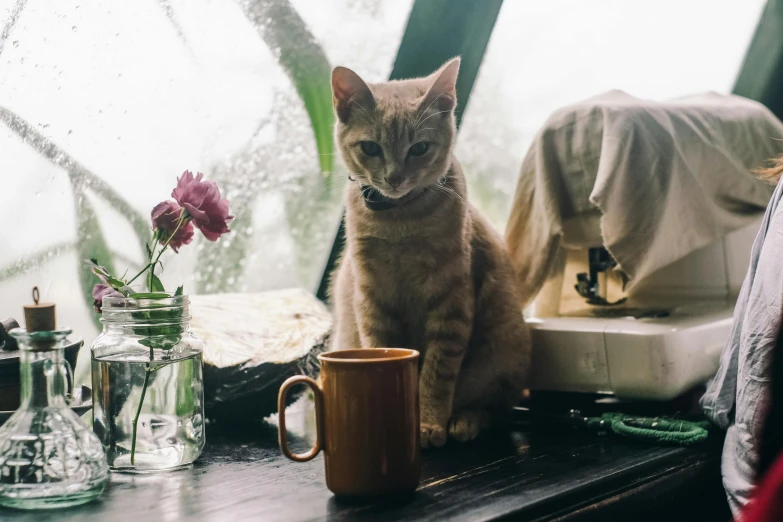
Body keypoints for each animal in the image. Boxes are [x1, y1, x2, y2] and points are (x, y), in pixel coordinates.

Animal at [328, 58, 528, 446]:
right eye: (370, 148)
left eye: (419, 148)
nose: (394, 178)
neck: (399, 221)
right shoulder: (371, 300)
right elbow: (379, 351)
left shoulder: (451, 302)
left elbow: (437, 371)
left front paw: (430, 423)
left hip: (503, 348)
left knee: (496, 405)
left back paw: (465, 420)